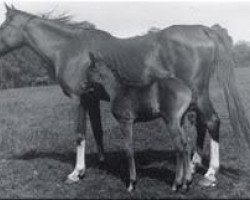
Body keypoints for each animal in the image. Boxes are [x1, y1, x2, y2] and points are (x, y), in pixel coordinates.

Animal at [0, 4, 249, 191]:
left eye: (4, 25)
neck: (68, 48)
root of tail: (205, 30)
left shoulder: (78, 99)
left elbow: (80, 134)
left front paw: (76, 172)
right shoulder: (91, 99)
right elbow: (97, 131)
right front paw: (100, 162)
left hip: (199, 93)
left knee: (212, 122)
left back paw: (210, 173)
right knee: (199, 124)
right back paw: (195, 165)